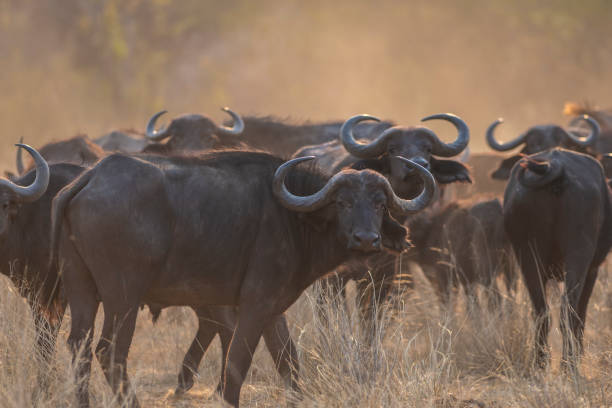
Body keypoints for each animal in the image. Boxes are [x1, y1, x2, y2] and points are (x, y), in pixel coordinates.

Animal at [51, 151, 436, 406]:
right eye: (342, 202)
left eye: (379, 203)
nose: (367, 239)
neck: (293, 217)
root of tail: (91, 177)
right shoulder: (254, 305)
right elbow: (237, 363)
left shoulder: (274, 310)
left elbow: (288, 362)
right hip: (124, 298)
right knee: (110, 351)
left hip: (82, 291)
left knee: (79, 346)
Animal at [504, 148, 608, 372]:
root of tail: (555, 167)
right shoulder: (592, 270)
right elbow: (581, 314)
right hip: (578, 255)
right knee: (568, 312)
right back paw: (569, 366)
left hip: (527, 256)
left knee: (541, 312)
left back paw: (540, 364)